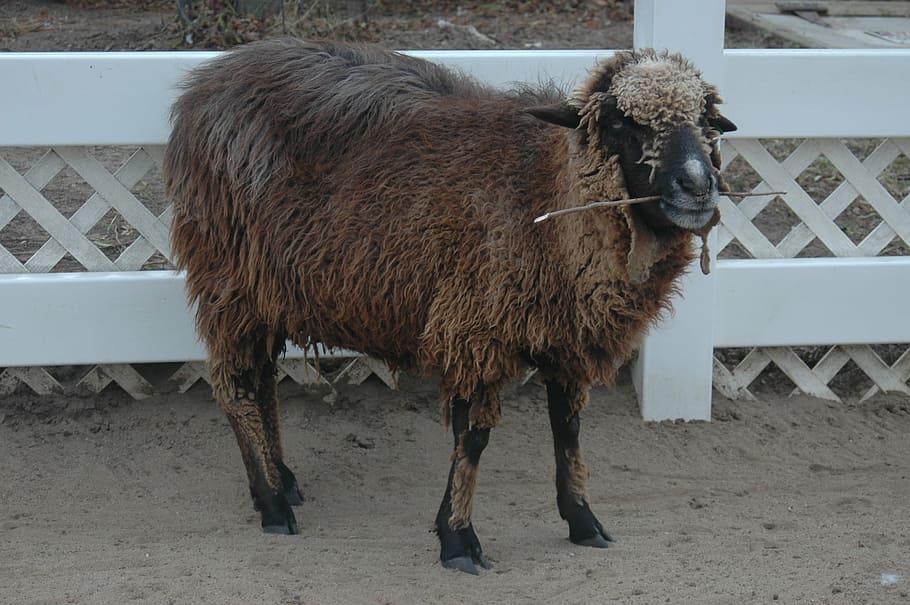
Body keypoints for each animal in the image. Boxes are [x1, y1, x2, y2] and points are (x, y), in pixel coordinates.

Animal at [163, 38, 736, 574]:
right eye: (619, 122)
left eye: (706, 120)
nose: (697, 186)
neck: (542, 196)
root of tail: (205, 84)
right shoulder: (474, 330)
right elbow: (473, 439)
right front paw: (458, 539)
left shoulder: (566, 339)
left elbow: (568, 431)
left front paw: (583, 519)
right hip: (228, 280)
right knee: (235, 387)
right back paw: (273, 505)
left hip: (269, 292)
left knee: (262, 382)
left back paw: (281, 478)